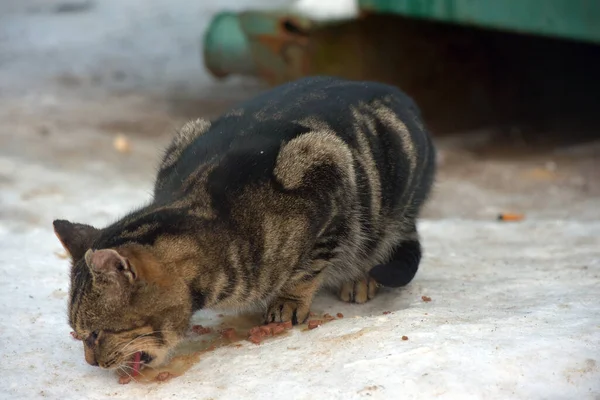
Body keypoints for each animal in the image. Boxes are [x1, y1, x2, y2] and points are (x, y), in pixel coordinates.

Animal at [52, 76, 436, 374]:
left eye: (95, 334)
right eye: (78, 334)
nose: (89, 362)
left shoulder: (328, 172)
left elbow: (309, 266)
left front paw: (288, 300)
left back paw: (361, 276)